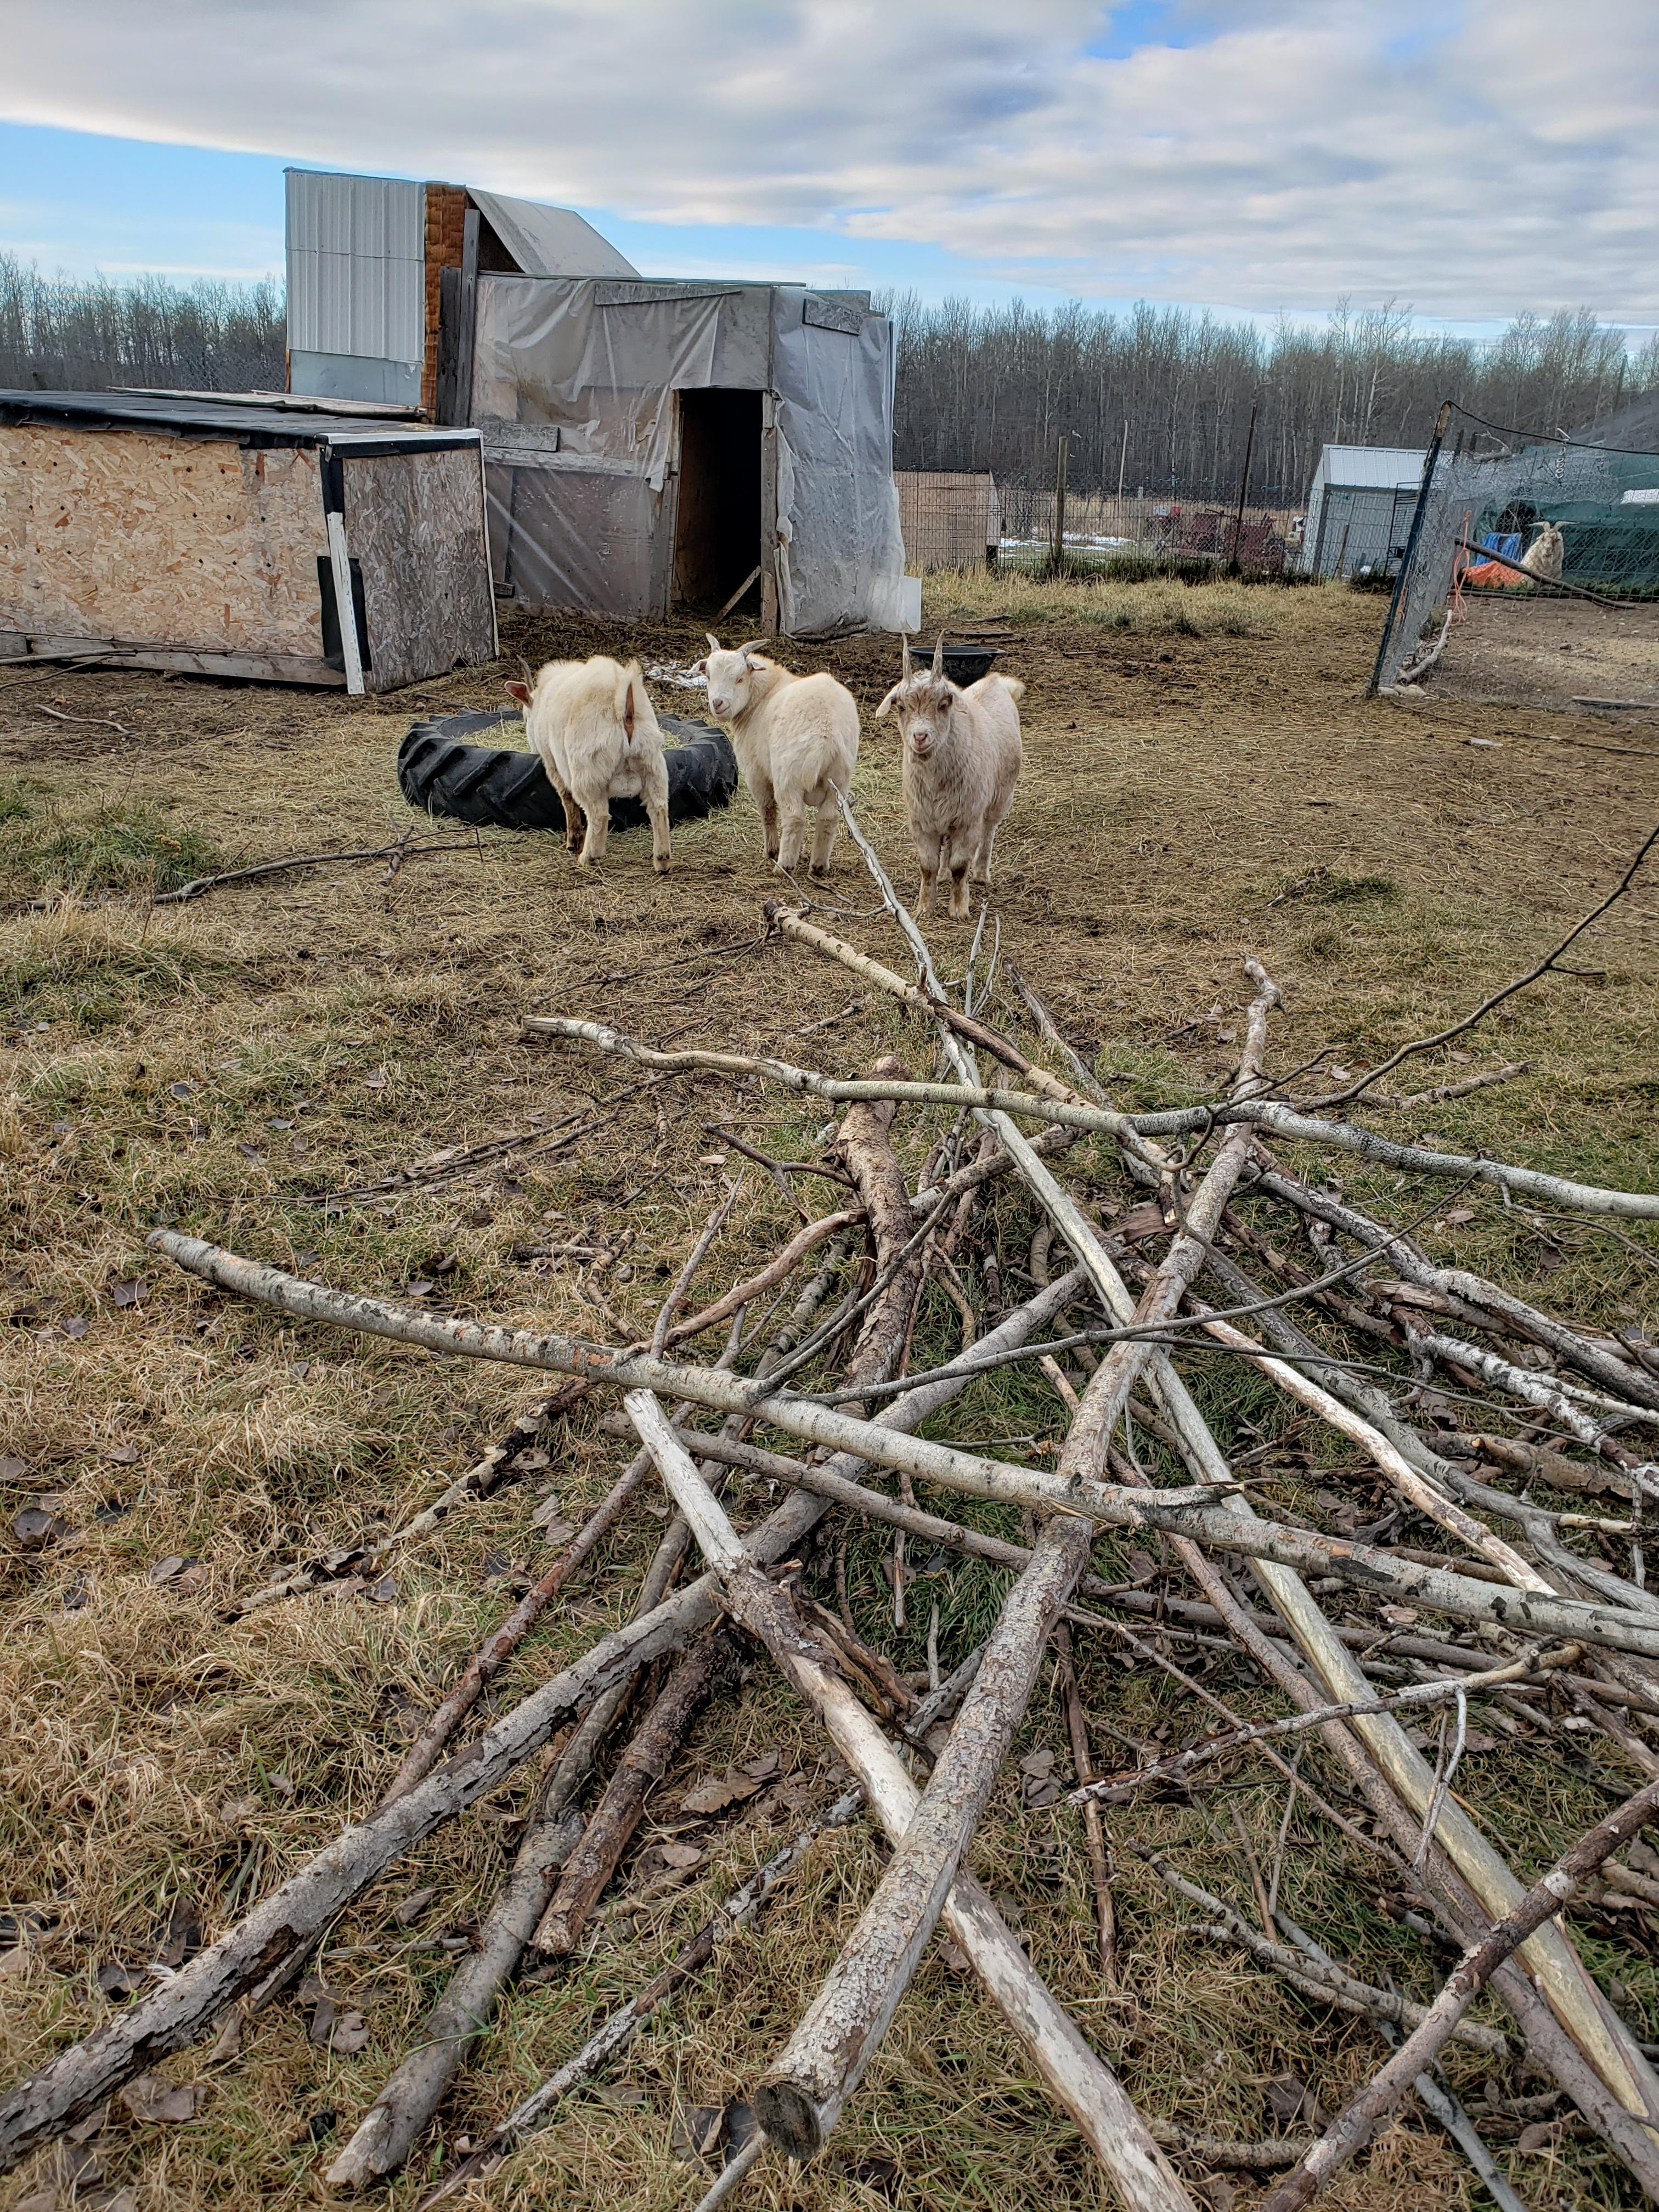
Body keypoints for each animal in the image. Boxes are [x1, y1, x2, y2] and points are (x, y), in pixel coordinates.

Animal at [506, 650, 668, 867]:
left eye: (525, 717)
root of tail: (623, 701)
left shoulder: (553, 763)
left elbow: (567, 798)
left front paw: (573, 841)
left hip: (588, 769)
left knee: (598, 813)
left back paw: (587, 856)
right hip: (652, 762)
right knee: (659, 807)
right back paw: (662, 861)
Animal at [695, 633, 862, 871]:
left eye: (740, 679)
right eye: (708, 676)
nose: (718, 703)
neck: (762, 697)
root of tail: (825, 731)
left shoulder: (756, 772)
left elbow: (767, 810)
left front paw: (771, 851)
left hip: (788, 774)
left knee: (794, 818)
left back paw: (783, 866)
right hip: (839, 776)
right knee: (828, 818)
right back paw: (818, 866)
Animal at [876, 637, 1022, 920]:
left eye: (943, 705)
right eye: (901, 707)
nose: (920, 737)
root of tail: (997, 682)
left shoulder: (967, 820)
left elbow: (960, 866)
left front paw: (960, 910)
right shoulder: (921, 821)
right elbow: (928, 866)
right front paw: (924, 908)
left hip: (1001, 797)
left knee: (989, 832)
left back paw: (981, 874)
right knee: (946, 847)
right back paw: (943, 876)